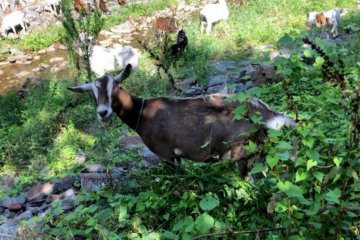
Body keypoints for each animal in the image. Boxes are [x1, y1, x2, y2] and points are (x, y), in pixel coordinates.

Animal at [68, 64, 296, 175]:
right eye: (92, 93)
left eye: (115, 86)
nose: (103, 112)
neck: (142, 112)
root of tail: (265, 112)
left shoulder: (166, 154)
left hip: (243, 152)